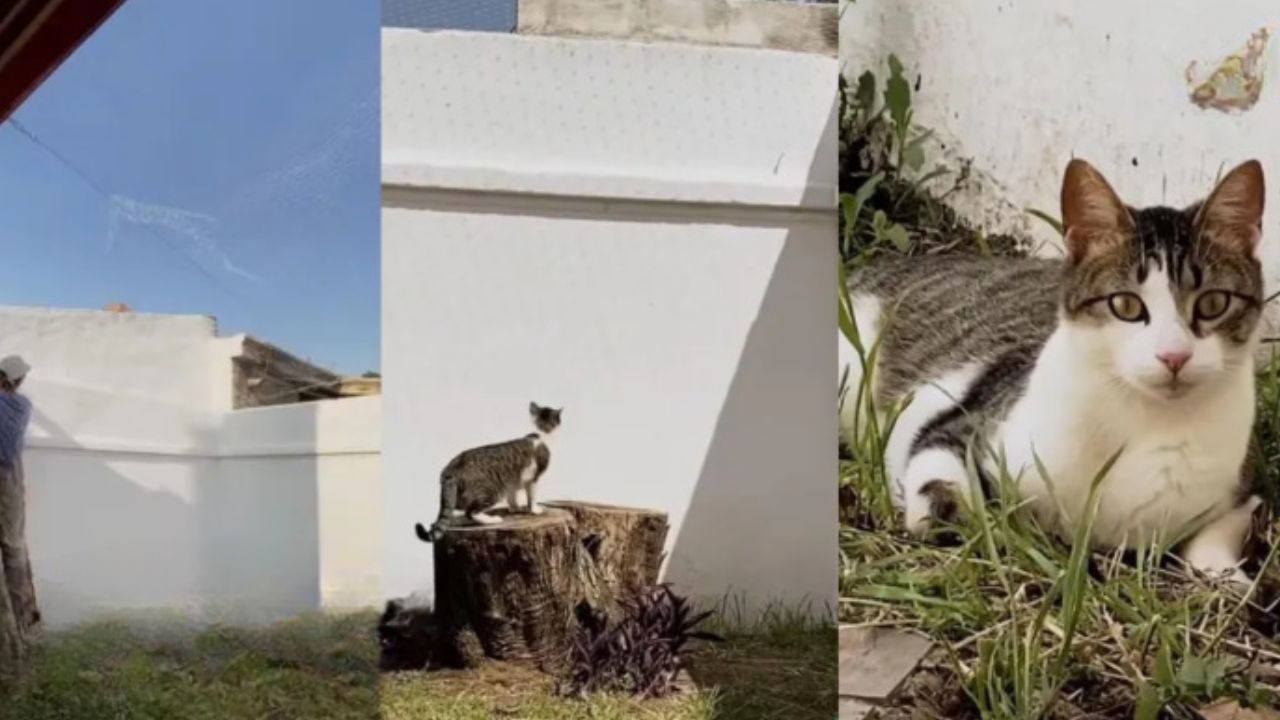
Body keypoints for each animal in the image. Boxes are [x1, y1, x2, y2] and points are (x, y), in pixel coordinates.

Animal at [417, 399, 563, 540]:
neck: (539, 434)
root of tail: (451, 469)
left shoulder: (512, 482)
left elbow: (512, 496)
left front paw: (515, 508)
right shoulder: (533, 479)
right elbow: (532, 497)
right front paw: (535, 509)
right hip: (491, 492)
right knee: (471, 512)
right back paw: (493, 520)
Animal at [839, 159, 1269, 579]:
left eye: (1213, 303)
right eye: (1126, 306)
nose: (1174, 356)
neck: (1146, 422)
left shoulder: (1238, 489)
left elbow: (1220, 535)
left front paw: (1228, 575)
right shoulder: (962, 424)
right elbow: (940, 485)